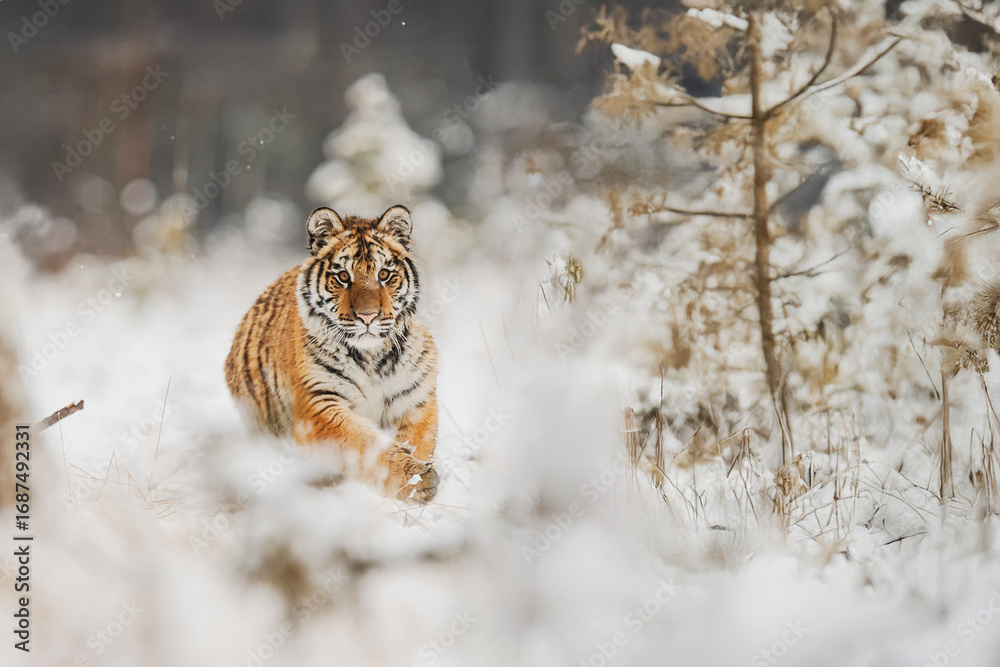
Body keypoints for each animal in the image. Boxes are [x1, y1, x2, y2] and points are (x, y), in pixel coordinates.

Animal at [225, 205, 439, 502]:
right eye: (343, 277)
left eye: (384, 275)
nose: (367, 316)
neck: (371, 356)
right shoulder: (319, 403)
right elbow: (365, 443)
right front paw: (415, 480)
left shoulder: (415, 401)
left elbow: (417, 441)